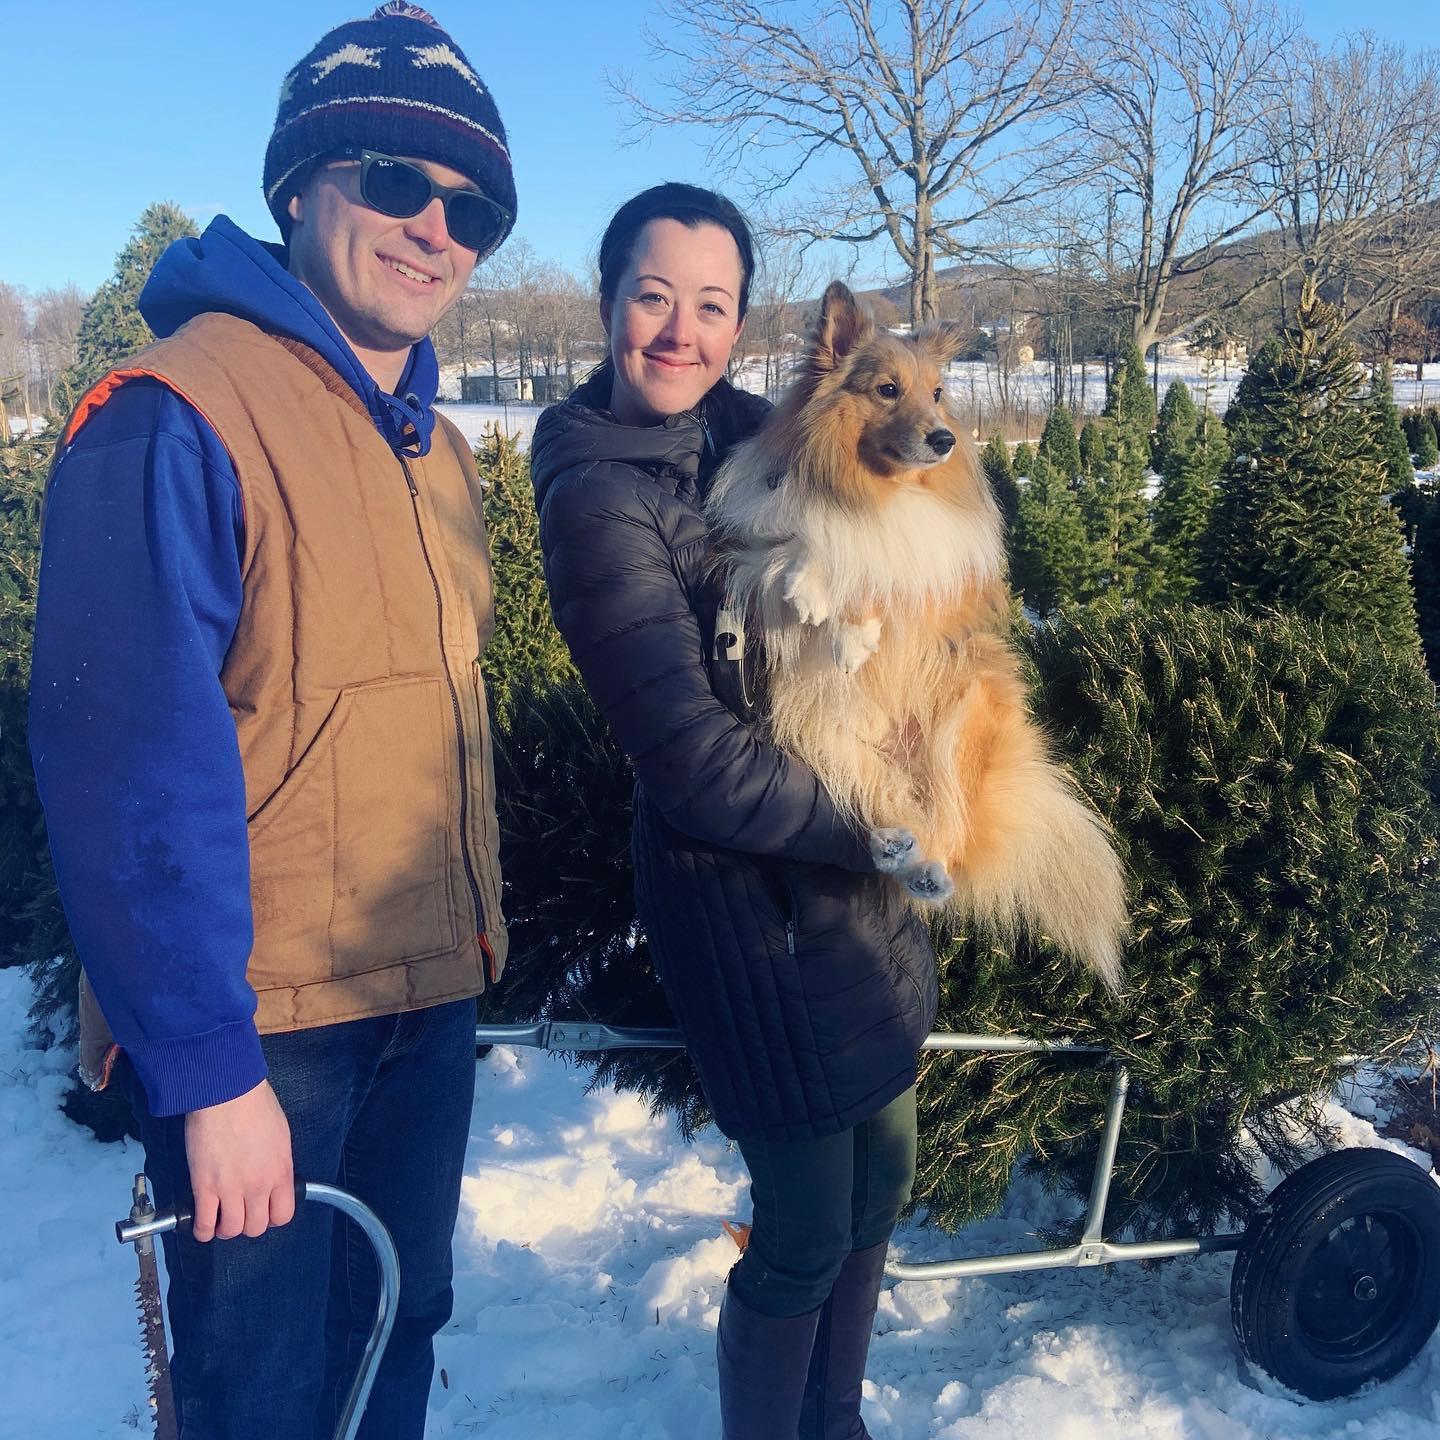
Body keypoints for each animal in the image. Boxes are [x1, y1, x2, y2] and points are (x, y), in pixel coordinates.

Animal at [702, 280, 1128, 990]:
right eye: (887, 389)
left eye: (937, 391)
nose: (945, 439)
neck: (873, 493)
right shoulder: (756, 544)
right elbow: (798, 546)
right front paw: (813, 595)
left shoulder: (932, 568)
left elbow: (882, 571)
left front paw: (852, 630)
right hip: (821, 730)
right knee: (886, 806)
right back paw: (897, 846)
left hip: (959, 722)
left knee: (950, 834)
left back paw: (930, 871)